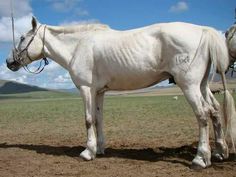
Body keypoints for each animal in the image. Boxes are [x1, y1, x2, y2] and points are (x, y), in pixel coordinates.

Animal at [5, 17, 236, 169]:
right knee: (215, 111)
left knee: (203, 114)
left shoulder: (86, 89)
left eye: (23, 37)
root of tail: (203, 30)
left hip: (189, 85)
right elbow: (98, 119)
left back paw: (200, 159)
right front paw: (99, 149)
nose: (9, 62)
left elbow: (88, 120)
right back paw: (219, 152)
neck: (78, 45)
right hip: (202, 85)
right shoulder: (99, 92)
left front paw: (87, 152)